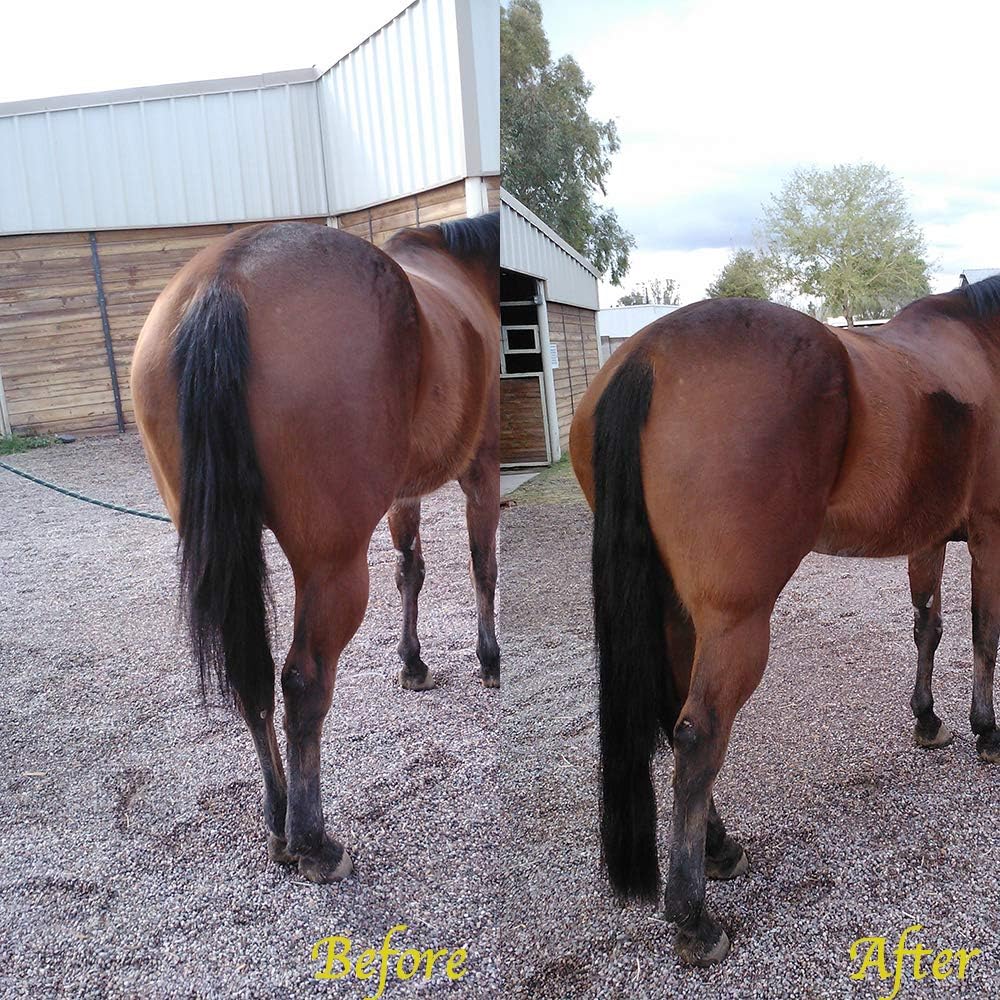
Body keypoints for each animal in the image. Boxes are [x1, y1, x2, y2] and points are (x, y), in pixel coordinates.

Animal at [131, 211, 499, 884]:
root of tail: (223, 280)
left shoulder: (403, 494)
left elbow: (412, 571)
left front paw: (412, 663)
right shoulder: (481, 471)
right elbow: (481, 566)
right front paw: (490, 660)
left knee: (251, 679)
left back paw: (279, 822)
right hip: (333, 566)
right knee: (303, 680)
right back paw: (313, 840)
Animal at [569, 276, 1000, 966]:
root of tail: (646, 357)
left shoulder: (930, 538)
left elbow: (927, 629)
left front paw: (929, 720)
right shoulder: (989, 531)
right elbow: (984, 633)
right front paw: (986, 730)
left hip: (676, 612)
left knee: (672, 714)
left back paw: (719, 848)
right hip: (735, 623)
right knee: (698, 733)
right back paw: (695, 918)